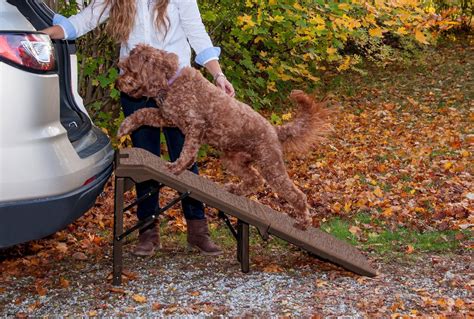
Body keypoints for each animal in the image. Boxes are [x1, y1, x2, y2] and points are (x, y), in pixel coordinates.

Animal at [118, 44, 332, 230]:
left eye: (129, 69)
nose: (118, 83)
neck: (171, 82)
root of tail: (274, 129)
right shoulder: (167, 117)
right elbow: (142, 113)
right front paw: (124, 127)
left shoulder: (195, 125)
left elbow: (187, 150)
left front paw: (177, 166)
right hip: (233, 159)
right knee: (255, 179)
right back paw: (236, 189)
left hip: (271, 165)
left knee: (295, 194)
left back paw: (303, 221)